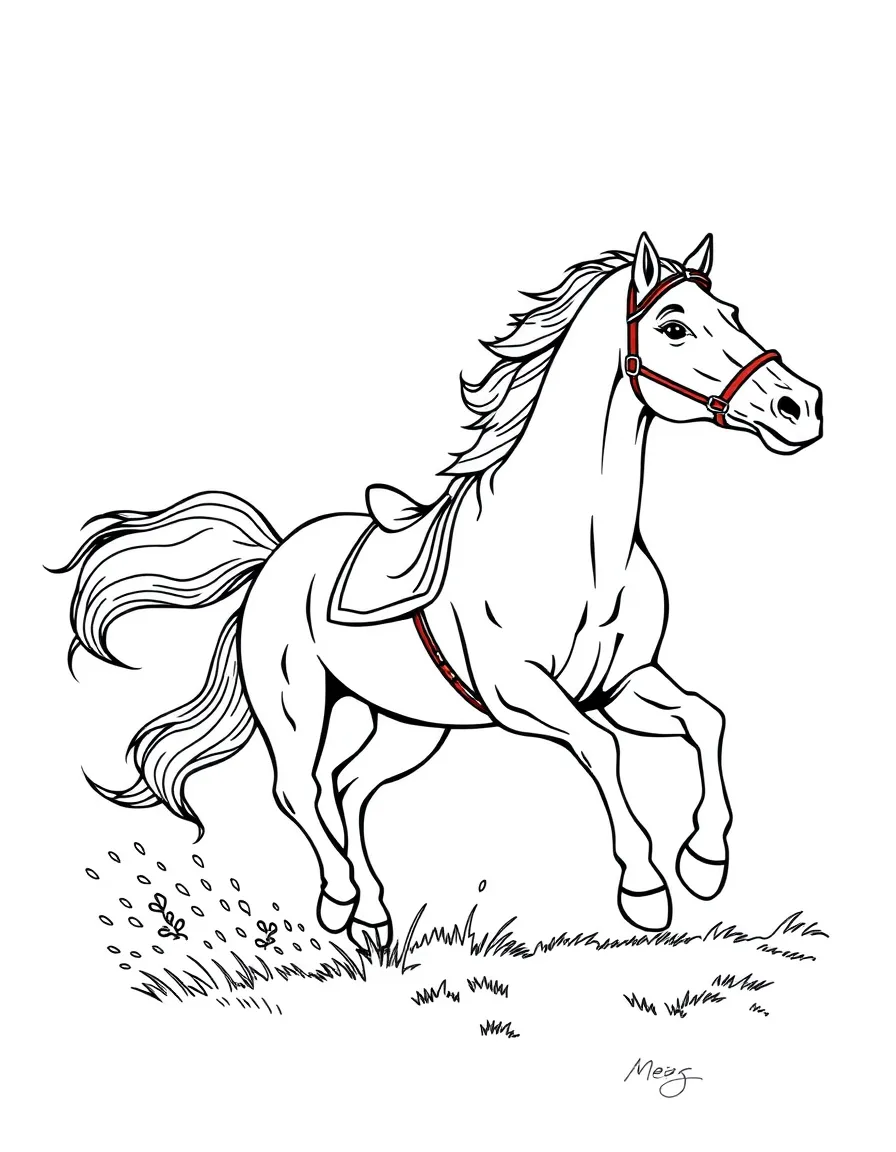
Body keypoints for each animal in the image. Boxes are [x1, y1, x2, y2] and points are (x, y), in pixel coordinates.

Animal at [54, 232, 822, 950]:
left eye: (731, 312)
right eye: (673, 326)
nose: (800, 407)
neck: (574, 548)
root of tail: (274, 559)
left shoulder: (622, 682)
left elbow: (706, 720)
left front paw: (706, 862)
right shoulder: (524, 696)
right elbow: (604, 751)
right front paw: (645, 888)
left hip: (408, 722)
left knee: (350, 788)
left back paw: (372, 916)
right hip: (295, 705)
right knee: (299, 790)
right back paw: (338, 901)